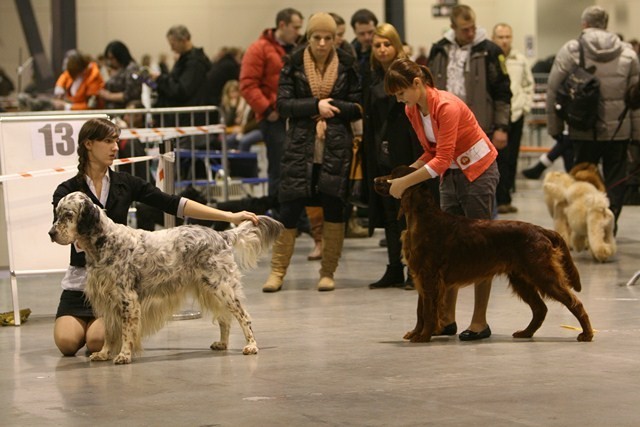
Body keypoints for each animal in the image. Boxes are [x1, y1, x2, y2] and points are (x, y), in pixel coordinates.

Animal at [47, 193, 282, 364]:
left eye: (68, 214)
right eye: (57, 213)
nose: (51, 233)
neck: (104, 242)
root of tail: (221, 235)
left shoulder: (127, 299)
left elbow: (125, 331)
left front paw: (123, 355)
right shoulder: (107, 299)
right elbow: (109, 332)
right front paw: (104, 353)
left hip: (223, 287)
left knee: (244, 316)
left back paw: (251, 345)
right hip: (210, 288)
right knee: (225, 319)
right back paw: (222, 344)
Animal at [376, 167, 596, 344]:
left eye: (393, 175)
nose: (375, 179)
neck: (422, 218)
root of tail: (541, 230)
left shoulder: (429, 276)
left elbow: (428, 310)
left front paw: (423, 336)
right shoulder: (420, 276)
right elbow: (420, 310)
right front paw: (415, 333)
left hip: (542, 274)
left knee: (574, 302)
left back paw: (586, 334)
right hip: (521, 278)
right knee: (540, 309)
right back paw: (525, 333)